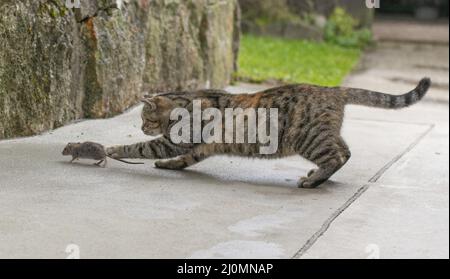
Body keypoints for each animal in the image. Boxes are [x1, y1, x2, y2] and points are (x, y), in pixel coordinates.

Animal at [107, 77, 430, 189]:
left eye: (144, 117)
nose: (140, 126)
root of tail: (332, 89)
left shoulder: (174, 141)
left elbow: (140, 147)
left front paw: (111, 149)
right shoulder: (198, 148)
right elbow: (185, 159)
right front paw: (168, 165)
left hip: (309, 138)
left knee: (336, 157)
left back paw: (313, 181)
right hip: (324, 134)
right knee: (346, 151)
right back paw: (317, 176)